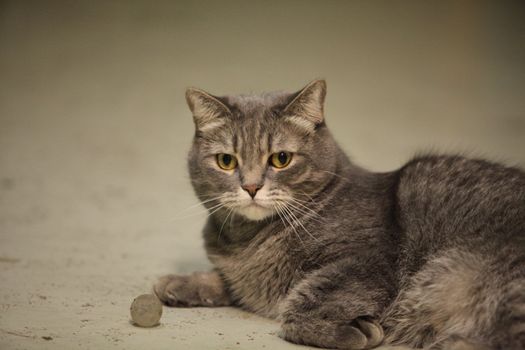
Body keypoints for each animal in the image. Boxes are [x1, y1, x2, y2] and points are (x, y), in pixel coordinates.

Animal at [155, 80, 524, 350]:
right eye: (226, 161)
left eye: (281, 159)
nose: (251, 186)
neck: (245, 241)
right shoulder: (244, 277)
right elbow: (229, 281)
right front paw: (180, 282)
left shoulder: (366, 260)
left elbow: (301, 299)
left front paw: (357, 329)